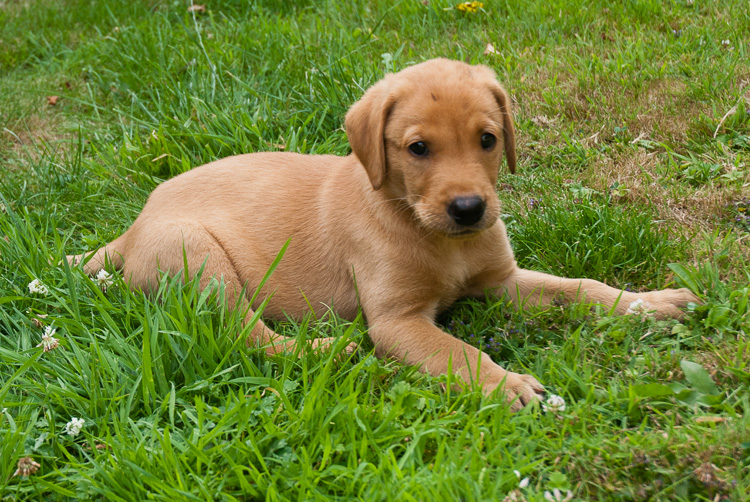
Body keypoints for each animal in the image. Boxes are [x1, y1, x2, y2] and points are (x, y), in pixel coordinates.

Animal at [70, 59, 700, 412]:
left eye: (489, 139)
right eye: (418, 148)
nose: (470, 208)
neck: (429, 231)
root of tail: (130, 229)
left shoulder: (504, 280)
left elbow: (582, 289)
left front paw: (649, 303)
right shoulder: (397, 321)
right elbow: (457, 352)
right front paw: (504, 386)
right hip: (194, 255)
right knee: (244, 335)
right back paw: (329, 348)